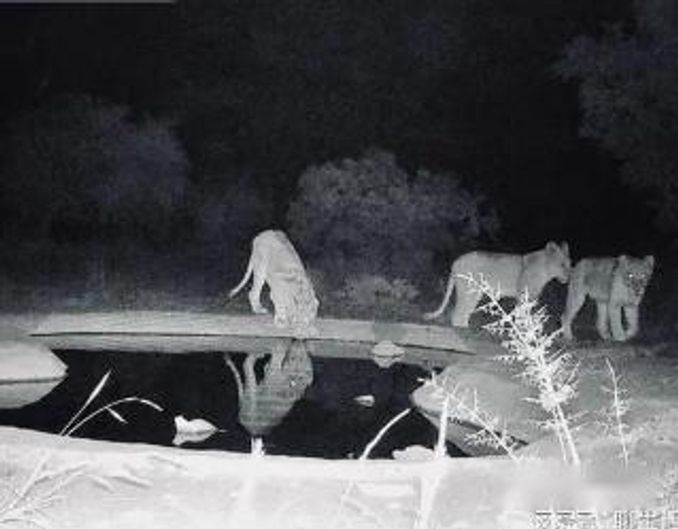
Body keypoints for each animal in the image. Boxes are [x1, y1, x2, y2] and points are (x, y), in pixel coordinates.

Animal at [423, 241, 571, 327]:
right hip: (471, 292)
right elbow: (522, 313)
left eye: (570, 264)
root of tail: (456, 262)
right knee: (458, 313)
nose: (569, 277)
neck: (546, 270)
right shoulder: (524, 295)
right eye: (562, 265)